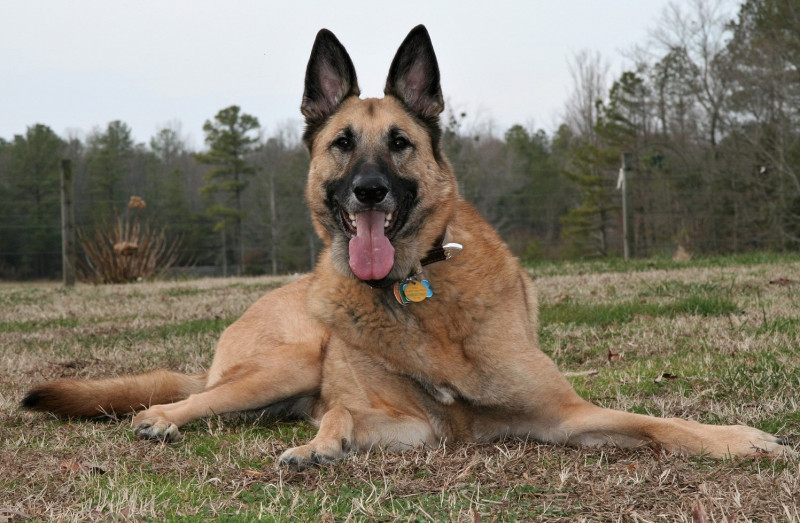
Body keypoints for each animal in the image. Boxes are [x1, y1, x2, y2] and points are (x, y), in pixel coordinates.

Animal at [22, 25, 792, 468]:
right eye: (341, 143)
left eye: (399, 143)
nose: (369, 192)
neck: (416, 290)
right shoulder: (409, 420)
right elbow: (340, 411)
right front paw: (319, 447)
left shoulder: (561, 417)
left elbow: (661, 422)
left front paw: (738, 437)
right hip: (288, 361)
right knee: (187, 401)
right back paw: (162, 420)